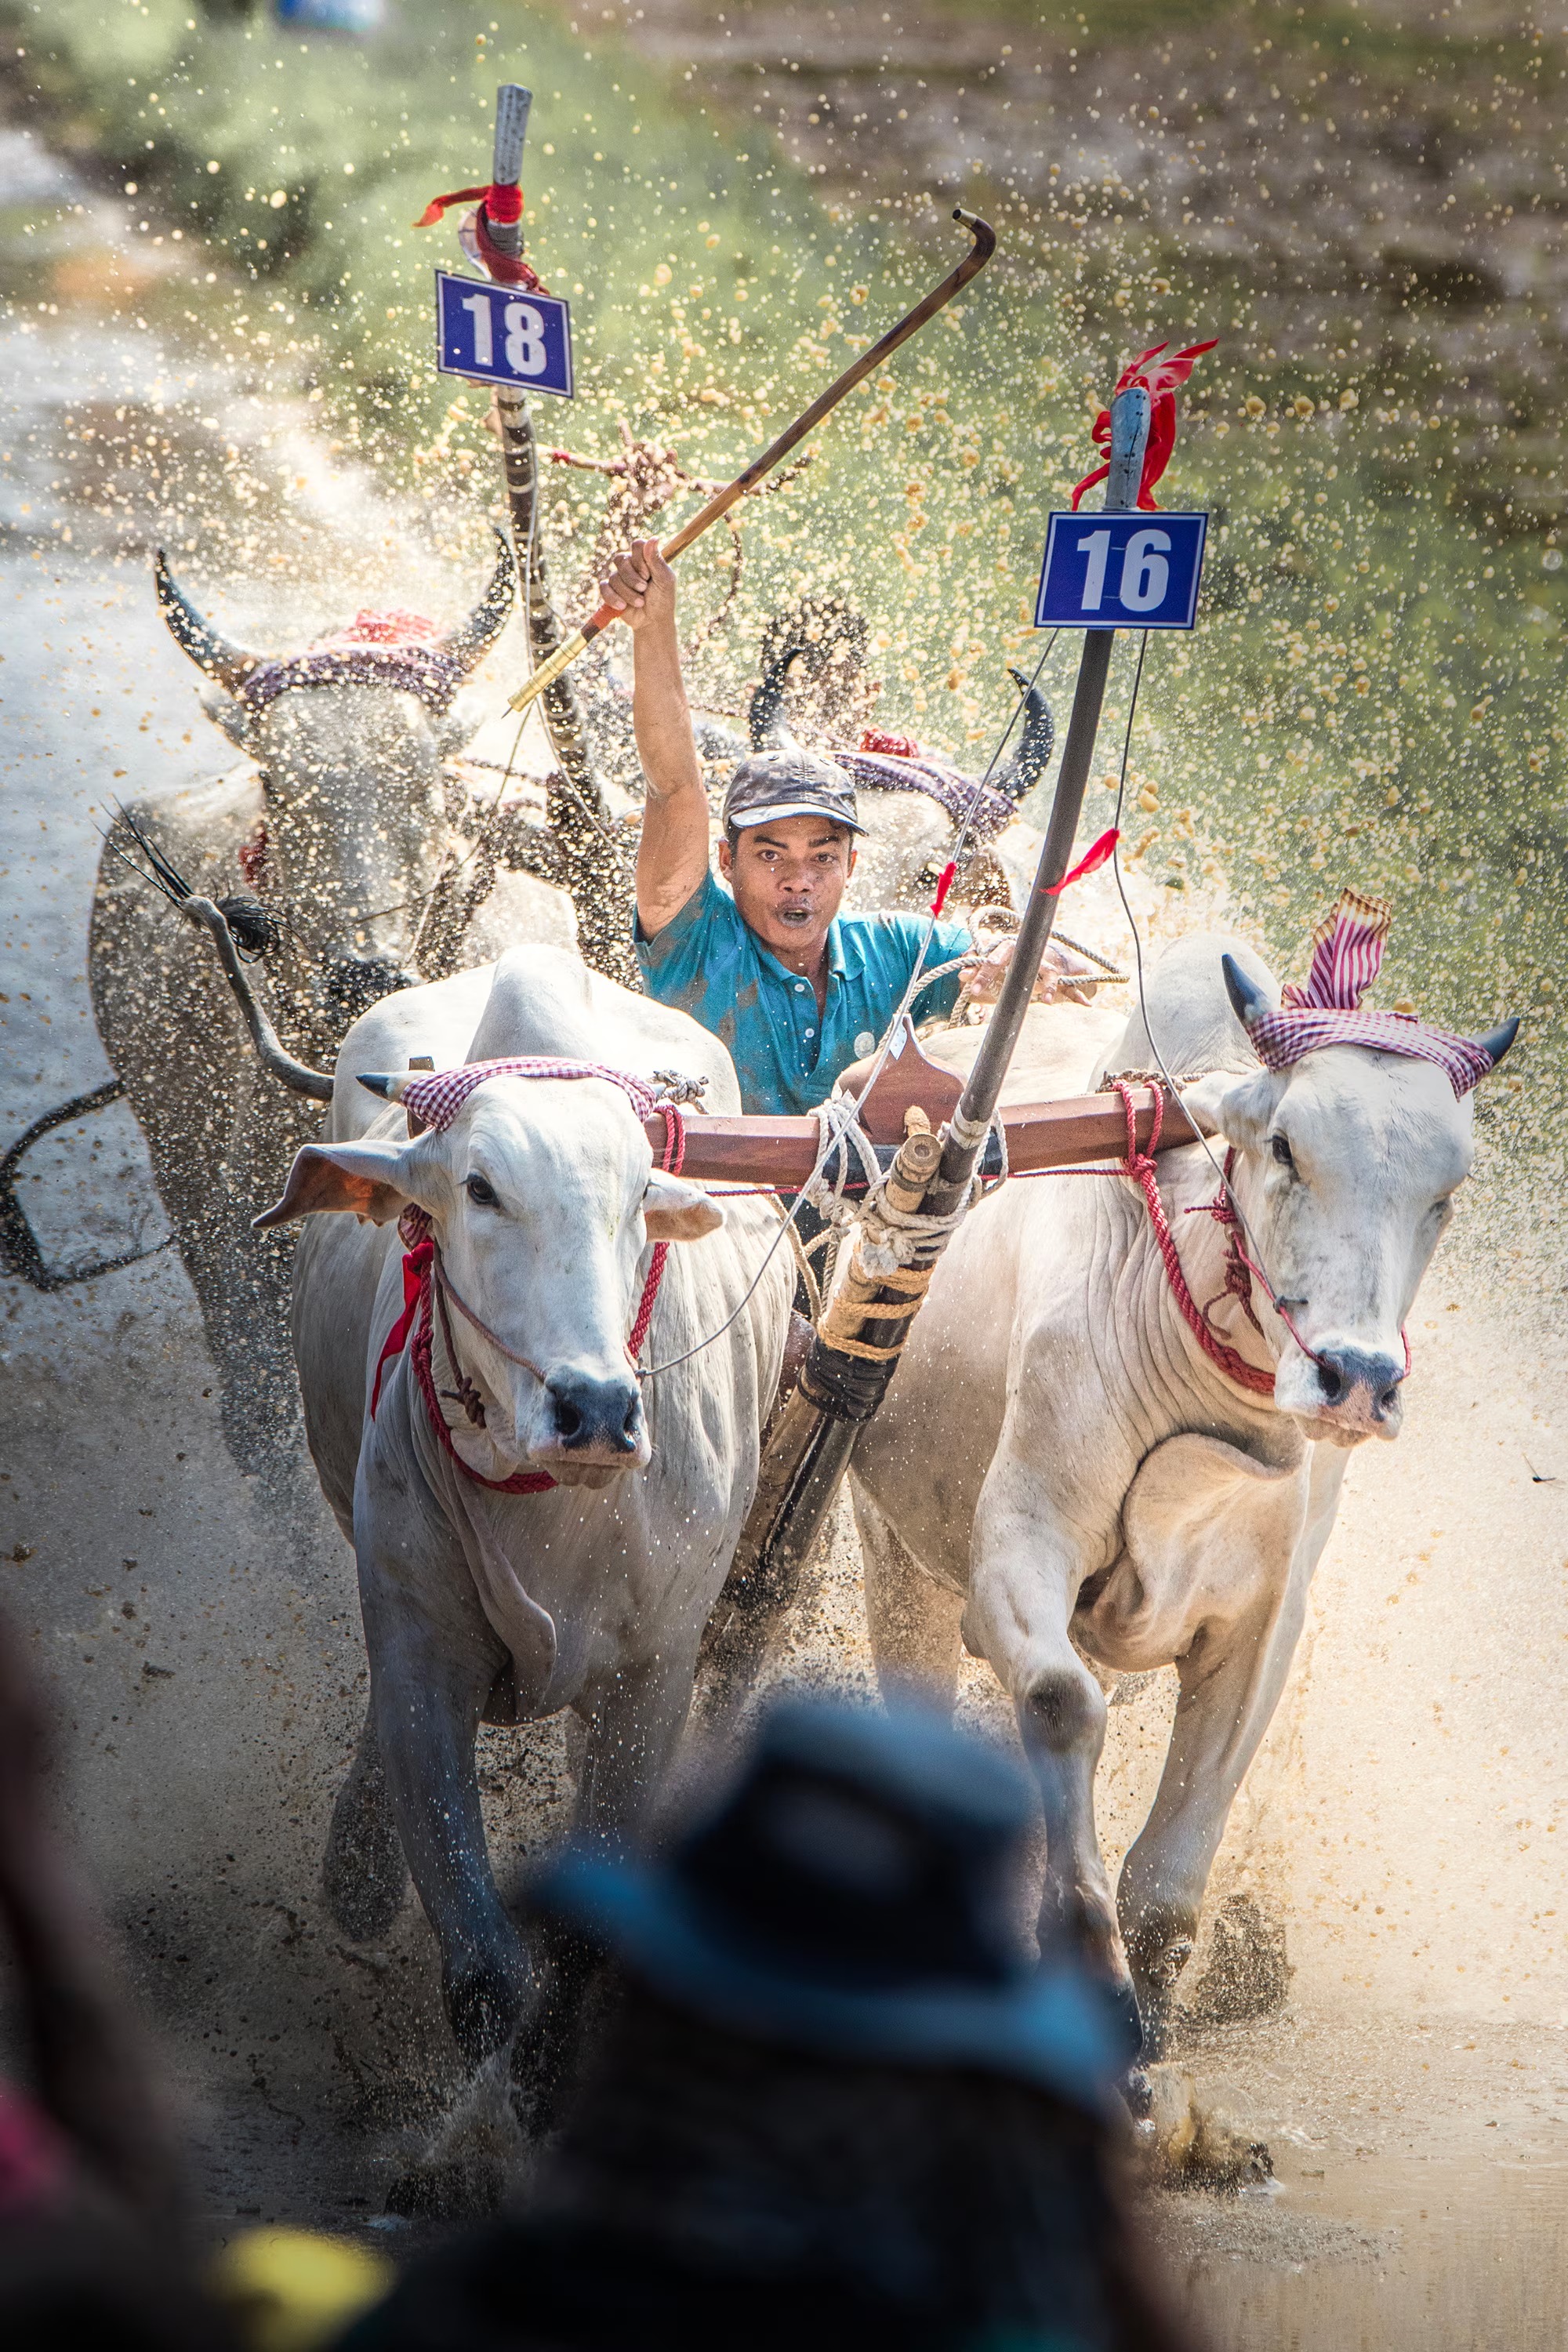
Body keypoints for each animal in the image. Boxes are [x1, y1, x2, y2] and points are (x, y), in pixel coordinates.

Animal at [263, 946, 799, 2089]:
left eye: (641, 1195)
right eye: (479, 1188)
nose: (595, 1407)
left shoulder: (656, 1675)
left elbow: (585, 1939)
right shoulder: (420, 1652)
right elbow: (481, 1977)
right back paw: (356, 1872)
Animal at [846, 898, 1523, 2060]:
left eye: (1445, 1193)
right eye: (1285, 1146)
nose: (1357, 1379)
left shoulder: (1264, 1619)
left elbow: (1171, 1870)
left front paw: (1149, 2021)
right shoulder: (1018, 1543)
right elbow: (1060, 1703)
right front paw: (1086, 1970)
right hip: (896, 1565)